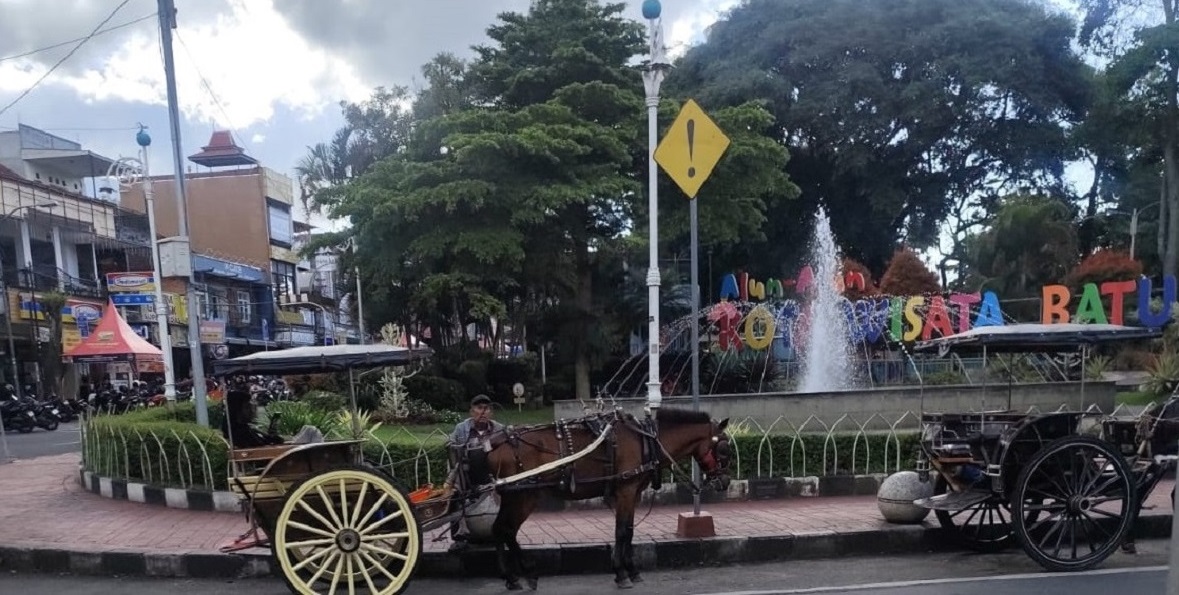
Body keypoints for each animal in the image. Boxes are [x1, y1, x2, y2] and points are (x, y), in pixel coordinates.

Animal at [465, 406, 731, 590]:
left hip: (511, 496)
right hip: (524, 495)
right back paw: (528, 573)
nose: (726, 482)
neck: (647, 438)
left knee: (499, 529)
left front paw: (631, 570)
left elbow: (629, 531)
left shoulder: (632, 493)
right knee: (508, 530)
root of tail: (493, 444)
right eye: (724, 448)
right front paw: (621, 574)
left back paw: (511, 578)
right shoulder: (625, 490)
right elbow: (622, 531)